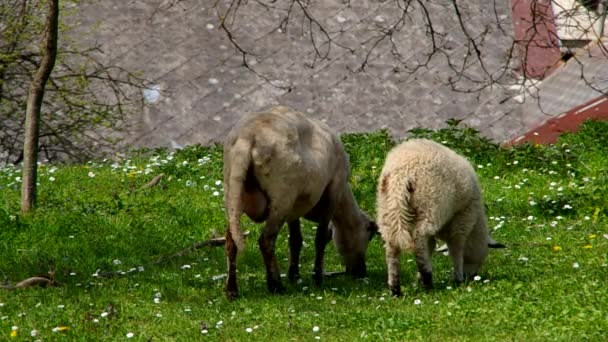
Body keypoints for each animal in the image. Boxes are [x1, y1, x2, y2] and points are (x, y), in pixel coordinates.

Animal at [221, 105, 378, 298]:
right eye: (369, 236)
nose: (361, 272)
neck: (343, 201)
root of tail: (248, 137)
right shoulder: (332, 191)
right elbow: (321, 238)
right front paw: (317, 278)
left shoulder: (294, 210)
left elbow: (296, 240)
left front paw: (294, 275)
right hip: (281, 196)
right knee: (266, 240)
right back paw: (275, 286)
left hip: (234, 192)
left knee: (231, 241)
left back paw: (232, 290)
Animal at [376, 139, 504, 296]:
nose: (472, 277)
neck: (476, 224)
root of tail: (402, 173)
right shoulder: (462, 220)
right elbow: (456, 249)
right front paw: (458, 278)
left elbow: (430, 247)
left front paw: (418, 279)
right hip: (430, 205)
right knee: (419, 242)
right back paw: (427, 282)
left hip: (389, 209)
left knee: (392, 247)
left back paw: (396, 289)